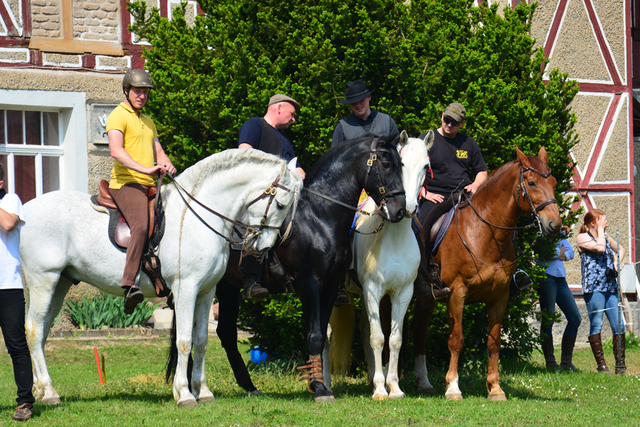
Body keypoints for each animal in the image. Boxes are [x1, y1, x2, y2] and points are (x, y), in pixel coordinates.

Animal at [19, 150, 300, 408]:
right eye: (280, 204)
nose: (265, 246)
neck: (200, 216)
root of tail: (25, 211)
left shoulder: (206, 292)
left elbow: (201, 340)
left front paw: (203, 392)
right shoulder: (187, 288)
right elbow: (184, 341)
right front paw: (184, 394)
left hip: (60, 283)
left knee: (41, 332)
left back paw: (40, 391)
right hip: (44, 281)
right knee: (33, 329)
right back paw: (49, 393)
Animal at [214, 135, 404, 404]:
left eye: (402, 165)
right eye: (386, 164)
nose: (399, 210)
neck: (319, 217)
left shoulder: (330, 287)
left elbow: (321, 335)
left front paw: (318, 384)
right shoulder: (309, 284)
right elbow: (314, 335)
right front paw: (321, 389)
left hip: (227, 288)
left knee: (225, 333)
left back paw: (247, 386)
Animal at [328, 131, 432, 402]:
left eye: (425, 166)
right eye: (401, 164)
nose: (407, 208)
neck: (393, 237)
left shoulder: (402, 293)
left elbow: (394, 339)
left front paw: (392, 387)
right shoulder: (373, 290)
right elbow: (377, 338)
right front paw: (380, 390)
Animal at [416, 148, 560, 402]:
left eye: (552, 182)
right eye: (532, 182)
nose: (555, 224)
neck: (485, 233)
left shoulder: (499, 296)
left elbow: (494, 342)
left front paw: (495, 388)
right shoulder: (457, 293)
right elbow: (456, 340)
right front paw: (453, 387)